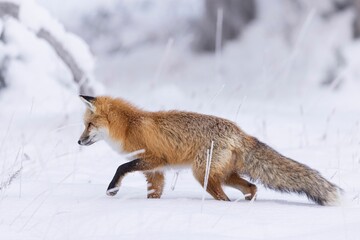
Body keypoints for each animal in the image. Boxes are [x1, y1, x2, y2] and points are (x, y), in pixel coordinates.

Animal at [78, 94, 340, 205]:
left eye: (88, 125)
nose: (79, 142)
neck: (129, 126)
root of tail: (239, 132)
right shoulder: (155, 171)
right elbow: (154, 192)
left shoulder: (154, 159)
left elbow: (121, 167)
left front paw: (112, 189)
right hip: (223, 175)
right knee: (252, 187)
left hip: (203, 175)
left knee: (225, 197)